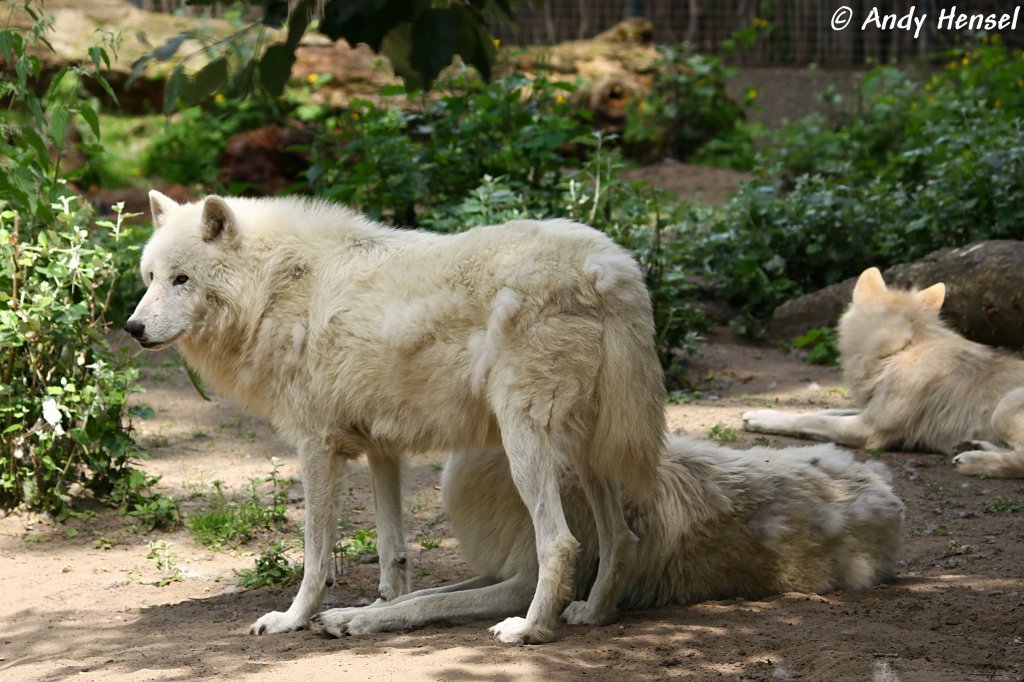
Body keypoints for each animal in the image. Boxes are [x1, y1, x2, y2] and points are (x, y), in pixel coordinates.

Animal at [123, 192, 667, 643]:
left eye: (182, 279)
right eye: (150, 278)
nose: (133, 328)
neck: (274, 288)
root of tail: (609, 266)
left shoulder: (316, 445)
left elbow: (315, 553)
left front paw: (293, 619)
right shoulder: (380, 446)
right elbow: (393, 550)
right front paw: (376, 606)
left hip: (524, 445)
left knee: (559, 543)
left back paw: (529, 629)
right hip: (591, 451)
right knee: (620, 536)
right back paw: (592, 613)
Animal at [305, 432, 905, 634]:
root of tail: (887, 488)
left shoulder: (525, 585)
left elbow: (428, 605)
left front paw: (356, 621)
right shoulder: (500, 570)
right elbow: (424, 596)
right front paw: (355, 612)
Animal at [741, 262, 1024, 475]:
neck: (902, 349)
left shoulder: (867, 429)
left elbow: (810, 419)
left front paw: (763, 419)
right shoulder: (868, 409)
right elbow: (826, 410)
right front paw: (760, 413)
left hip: (1003, 409)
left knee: (1019, 462)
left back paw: (973, 460)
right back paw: (973, 446)